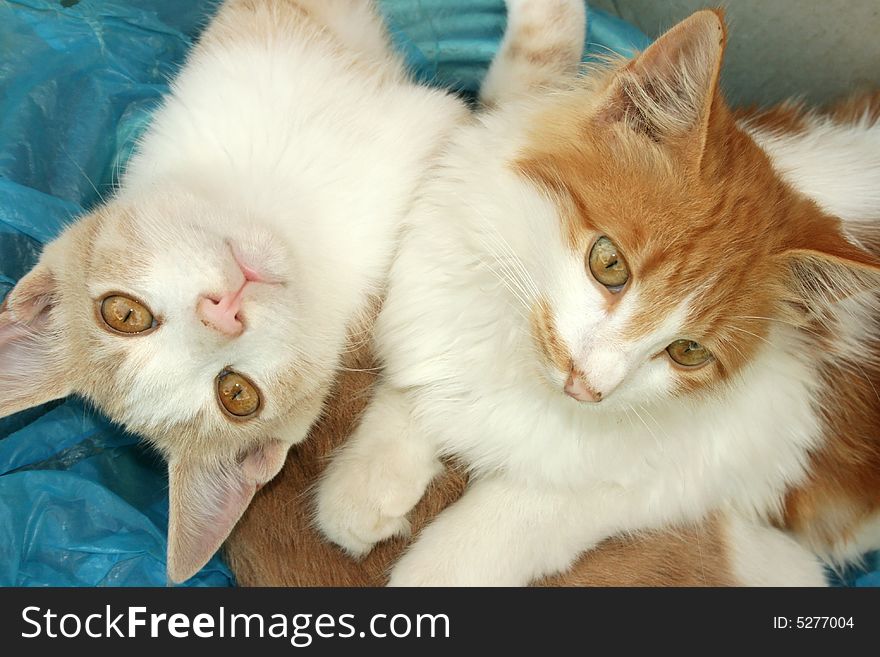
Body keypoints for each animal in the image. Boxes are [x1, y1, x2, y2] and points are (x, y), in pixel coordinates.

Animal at [318, 10, 880, 584]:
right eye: (609, 264)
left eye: (688, 352)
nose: (586, 385)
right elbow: (420, 381)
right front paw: (367, 481)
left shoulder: (717, 456)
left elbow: (527, 508)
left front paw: (437, 567)